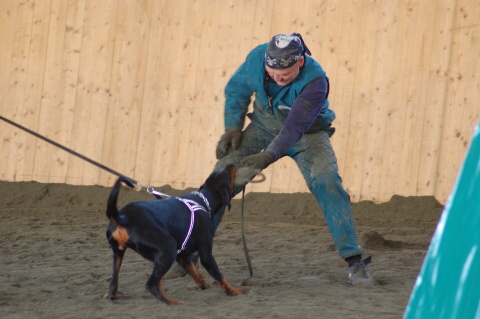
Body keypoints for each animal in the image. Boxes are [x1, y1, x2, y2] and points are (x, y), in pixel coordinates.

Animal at [102, 164, 242, 306]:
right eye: (226, 173)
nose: (231, 165)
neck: (203, 200)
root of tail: (122, 217)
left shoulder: (182, 255)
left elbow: (194, 272)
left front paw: (204, 285)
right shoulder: (206, 253)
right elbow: (219, 276)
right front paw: (234, 291)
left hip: (118, 254)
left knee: (113, 284)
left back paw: (113, 296)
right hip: (168, 249)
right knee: (152, 285)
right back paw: (174, 303)